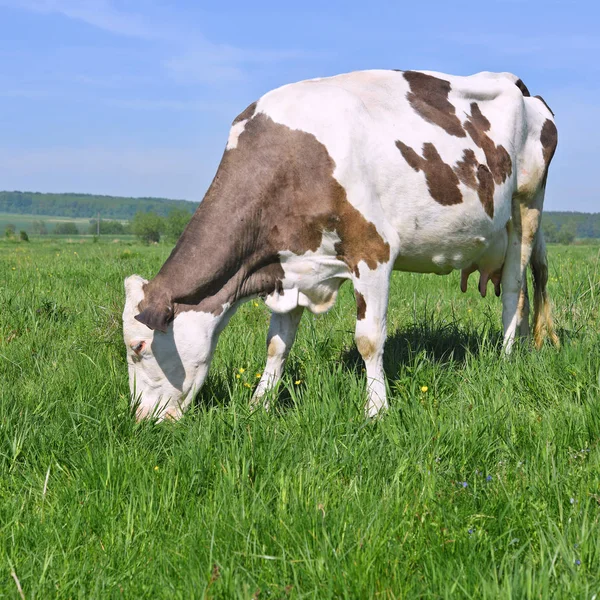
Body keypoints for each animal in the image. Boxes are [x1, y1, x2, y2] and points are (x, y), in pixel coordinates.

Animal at [124, 68, 560, 422]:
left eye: (138, 346)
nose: (141, 419)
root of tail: (517, 84)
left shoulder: (373, 250)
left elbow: (369, 340)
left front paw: (376, 411)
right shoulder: (290, 268)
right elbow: (276, 345)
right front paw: (258, 405)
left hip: (526, 206)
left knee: (515, 290)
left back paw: (506, 358)